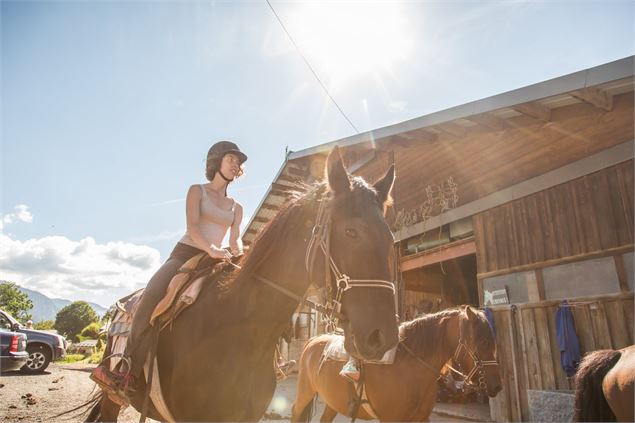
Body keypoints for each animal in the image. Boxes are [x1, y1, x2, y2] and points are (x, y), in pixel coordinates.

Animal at [290, 306, 504, 422]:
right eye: (482, 342)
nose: (497, 386)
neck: (409, 367)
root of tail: (312, 340)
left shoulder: (422, 419)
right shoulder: (390, 418)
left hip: (331, 401)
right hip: (305, 393)